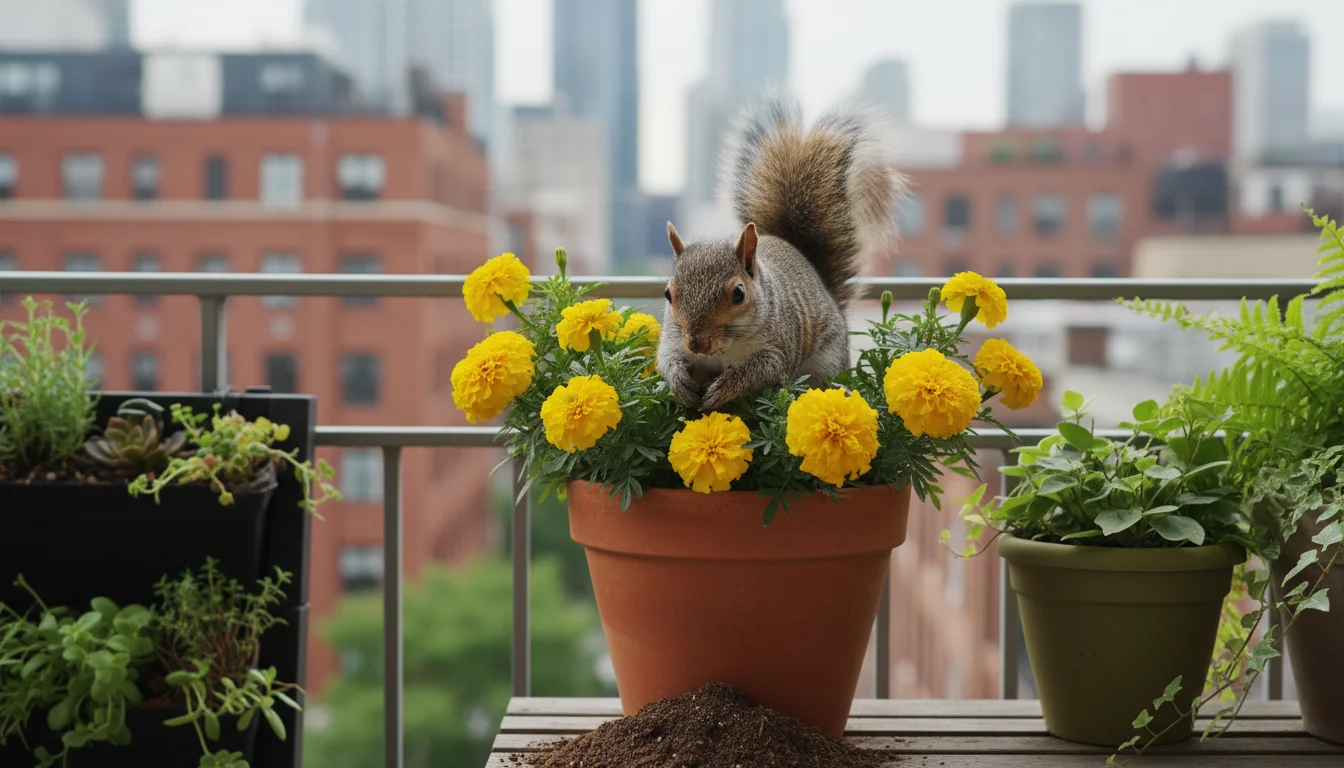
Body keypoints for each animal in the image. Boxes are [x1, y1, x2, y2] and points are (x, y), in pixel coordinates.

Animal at [657, 95, 905, 412]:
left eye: (739, 294)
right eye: (668, 294)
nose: (697, 343)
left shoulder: (779, 346)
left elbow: (763, 369)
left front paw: (724, 389)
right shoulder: (673, 339)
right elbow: (667, 358)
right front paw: (680, 382)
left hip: (824, 366)